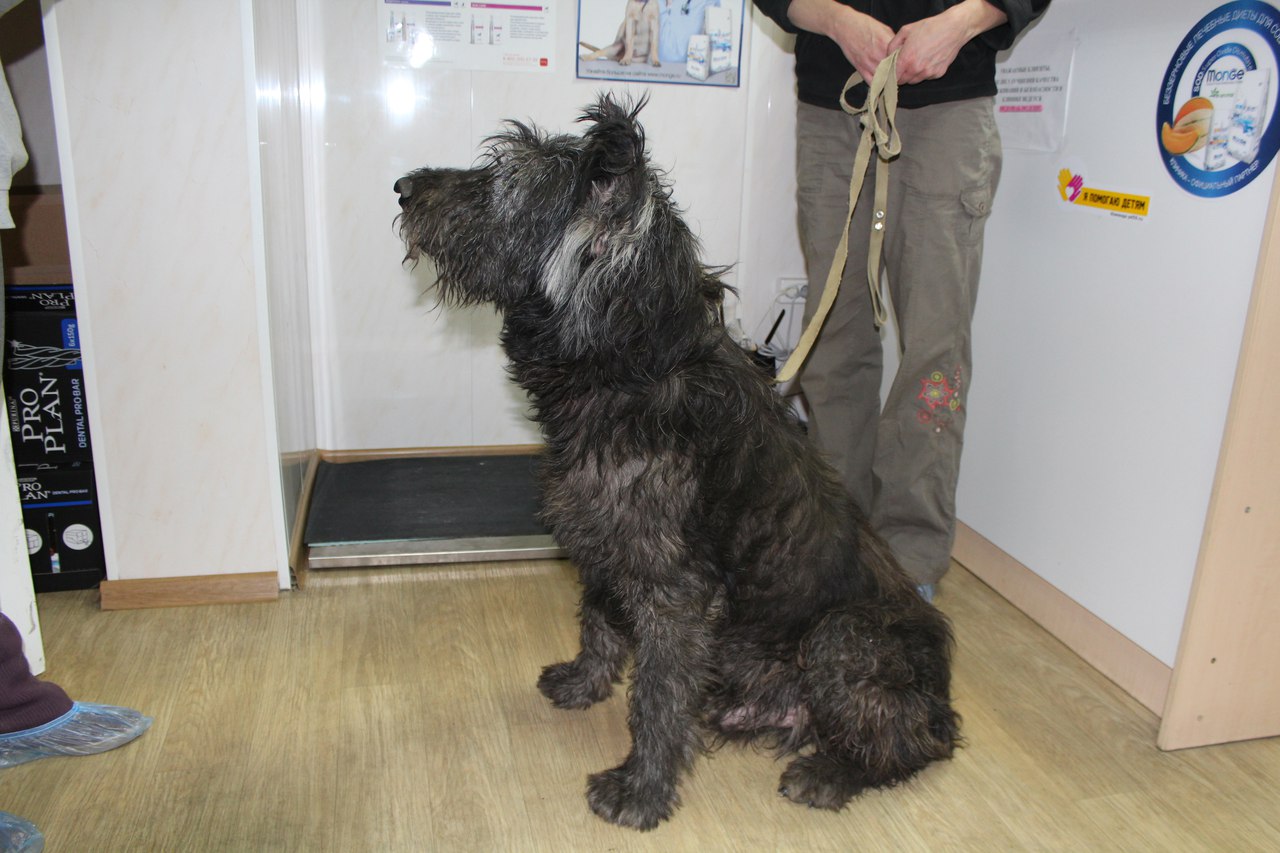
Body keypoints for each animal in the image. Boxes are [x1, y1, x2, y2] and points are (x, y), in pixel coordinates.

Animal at [394, 96, 960, 831]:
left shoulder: (674, 591)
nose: (402, 188)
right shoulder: (606, 546)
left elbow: (658, 697)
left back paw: (832, 771)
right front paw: (584, 682)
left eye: (506, 178)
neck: (633, 371)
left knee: (910, 743)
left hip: (842, 637)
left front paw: (640, 789)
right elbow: (599, 623)